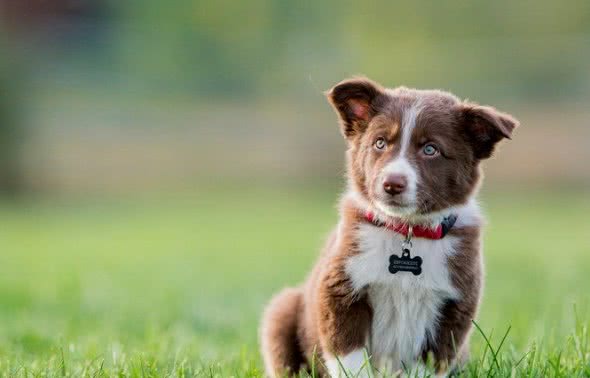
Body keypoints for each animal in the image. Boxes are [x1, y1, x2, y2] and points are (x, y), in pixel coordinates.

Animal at [262, 77, 520, 378]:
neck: (407, 230)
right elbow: (350, 357)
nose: (392, 184)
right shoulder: (341, 291)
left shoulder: (453, 307)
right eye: (380, 143)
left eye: (430, 149)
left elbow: (428, 363)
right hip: (282, 311)